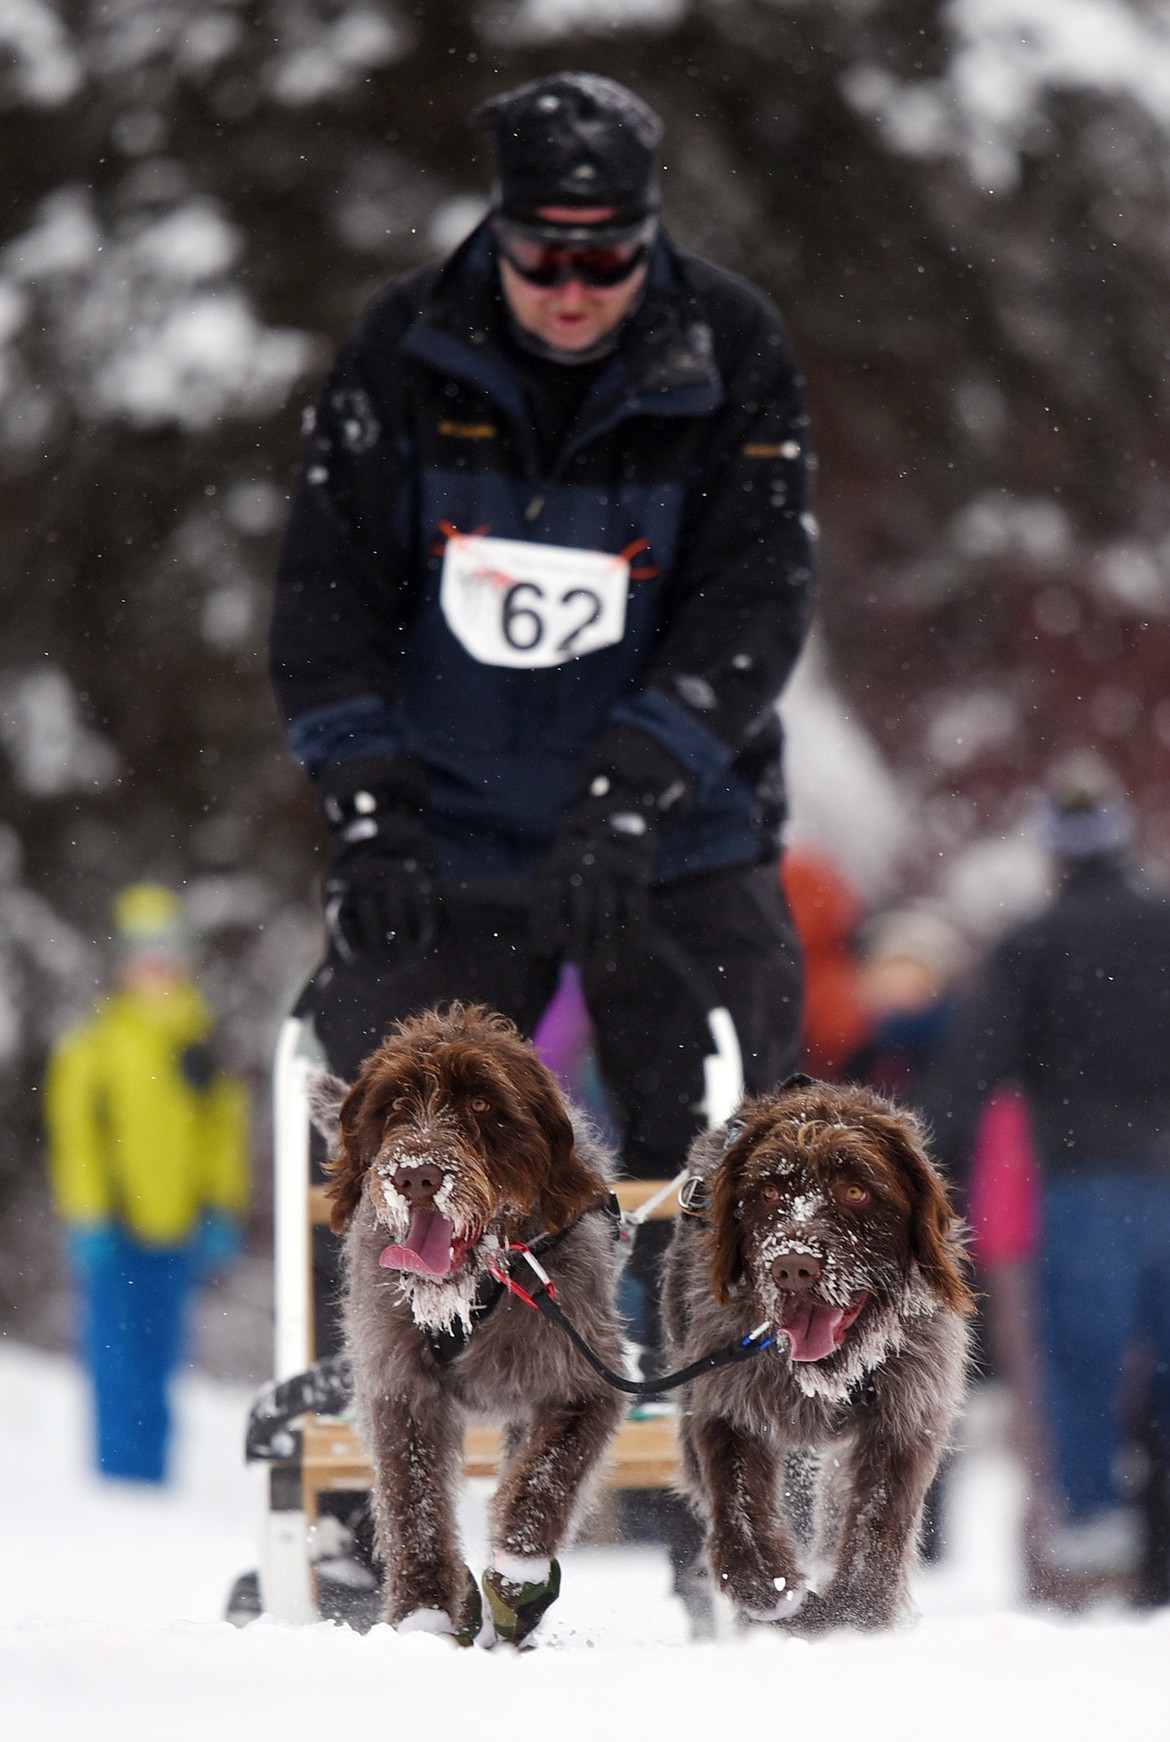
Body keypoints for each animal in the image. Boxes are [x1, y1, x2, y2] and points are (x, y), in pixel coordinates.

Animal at [308, 1003, 619, 1637]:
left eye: (480, 1103)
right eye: (395, 1106)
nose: (416, 1176)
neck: (478, 1287)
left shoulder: (586, 1377)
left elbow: (548, 1475)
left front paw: (519, 1574)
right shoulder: (399, 1389)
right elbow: (413, 1504)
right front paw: (423, 1615)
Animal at [661, 1073, 975, 1630]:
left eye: (855, 1191)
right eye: (768, 1191)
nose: (793, 1267)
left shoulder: (907, 1411)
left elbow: (879, 1518)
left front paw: (851, 1611)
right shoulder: (722, 1394)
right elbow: (736, 1500)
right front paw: (772, 1589)